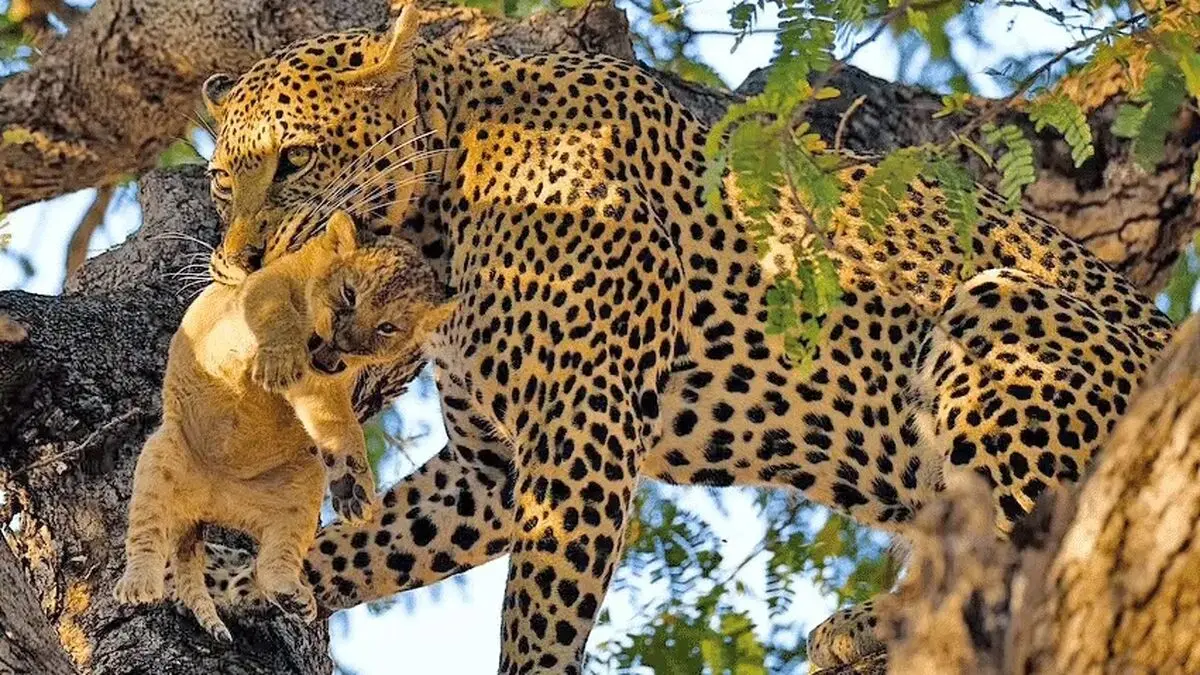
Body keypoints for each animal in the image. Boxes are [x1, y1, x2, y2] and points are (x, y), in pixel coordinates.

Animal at [114, 209, 455, 641]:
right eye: (349, 294)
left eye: (387, 328)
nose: (343, 344)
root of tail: (211, 502)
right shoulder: (261, 287)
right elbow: (276, 312)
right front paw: (277, 362)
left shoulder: (324, 390)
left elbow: (340, 424)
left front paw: (355, 486)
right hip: (162, 456)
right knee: (147, 532)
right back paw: (139, 583)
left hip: (301, 489)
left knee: (276, 556)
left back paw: (291, 594)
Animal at [193, 6, 1173, 672]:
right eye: (219, 184)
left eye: (294, 159)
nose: (237, 262)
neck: (435, 219)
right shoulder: (491, 469)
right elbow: (371, 545)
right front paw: (236, 582)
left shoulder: (580, 432)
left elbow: (538, 616)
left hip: (996, 312)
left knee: (1035, 550)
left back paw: (872, 623)